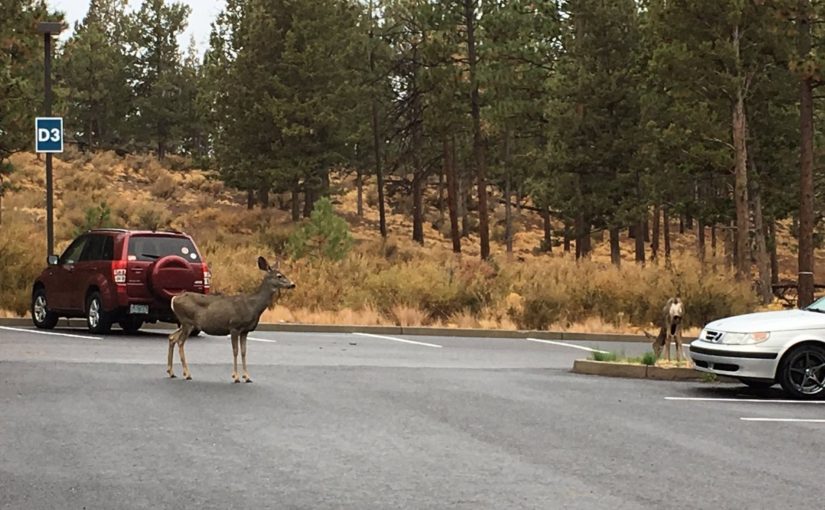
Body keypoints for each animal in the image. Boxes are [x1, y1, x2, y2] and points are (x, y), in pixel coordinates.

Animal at [167, 255, 296, 382]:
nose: (293, 284)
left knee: (172, 337)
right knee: (180, 342)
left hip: (186, 323)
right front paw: (236, 376)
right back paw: (187, 374)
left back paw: (171, 372)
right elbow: (235, 351)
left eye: (283, 273)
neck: (253, 306)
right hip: (187, 321)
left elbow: (244, 352)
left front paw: (247, 376)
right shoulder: (234, 326)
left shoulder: (245, 331)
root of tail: (174, 299)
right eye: (279, 276)